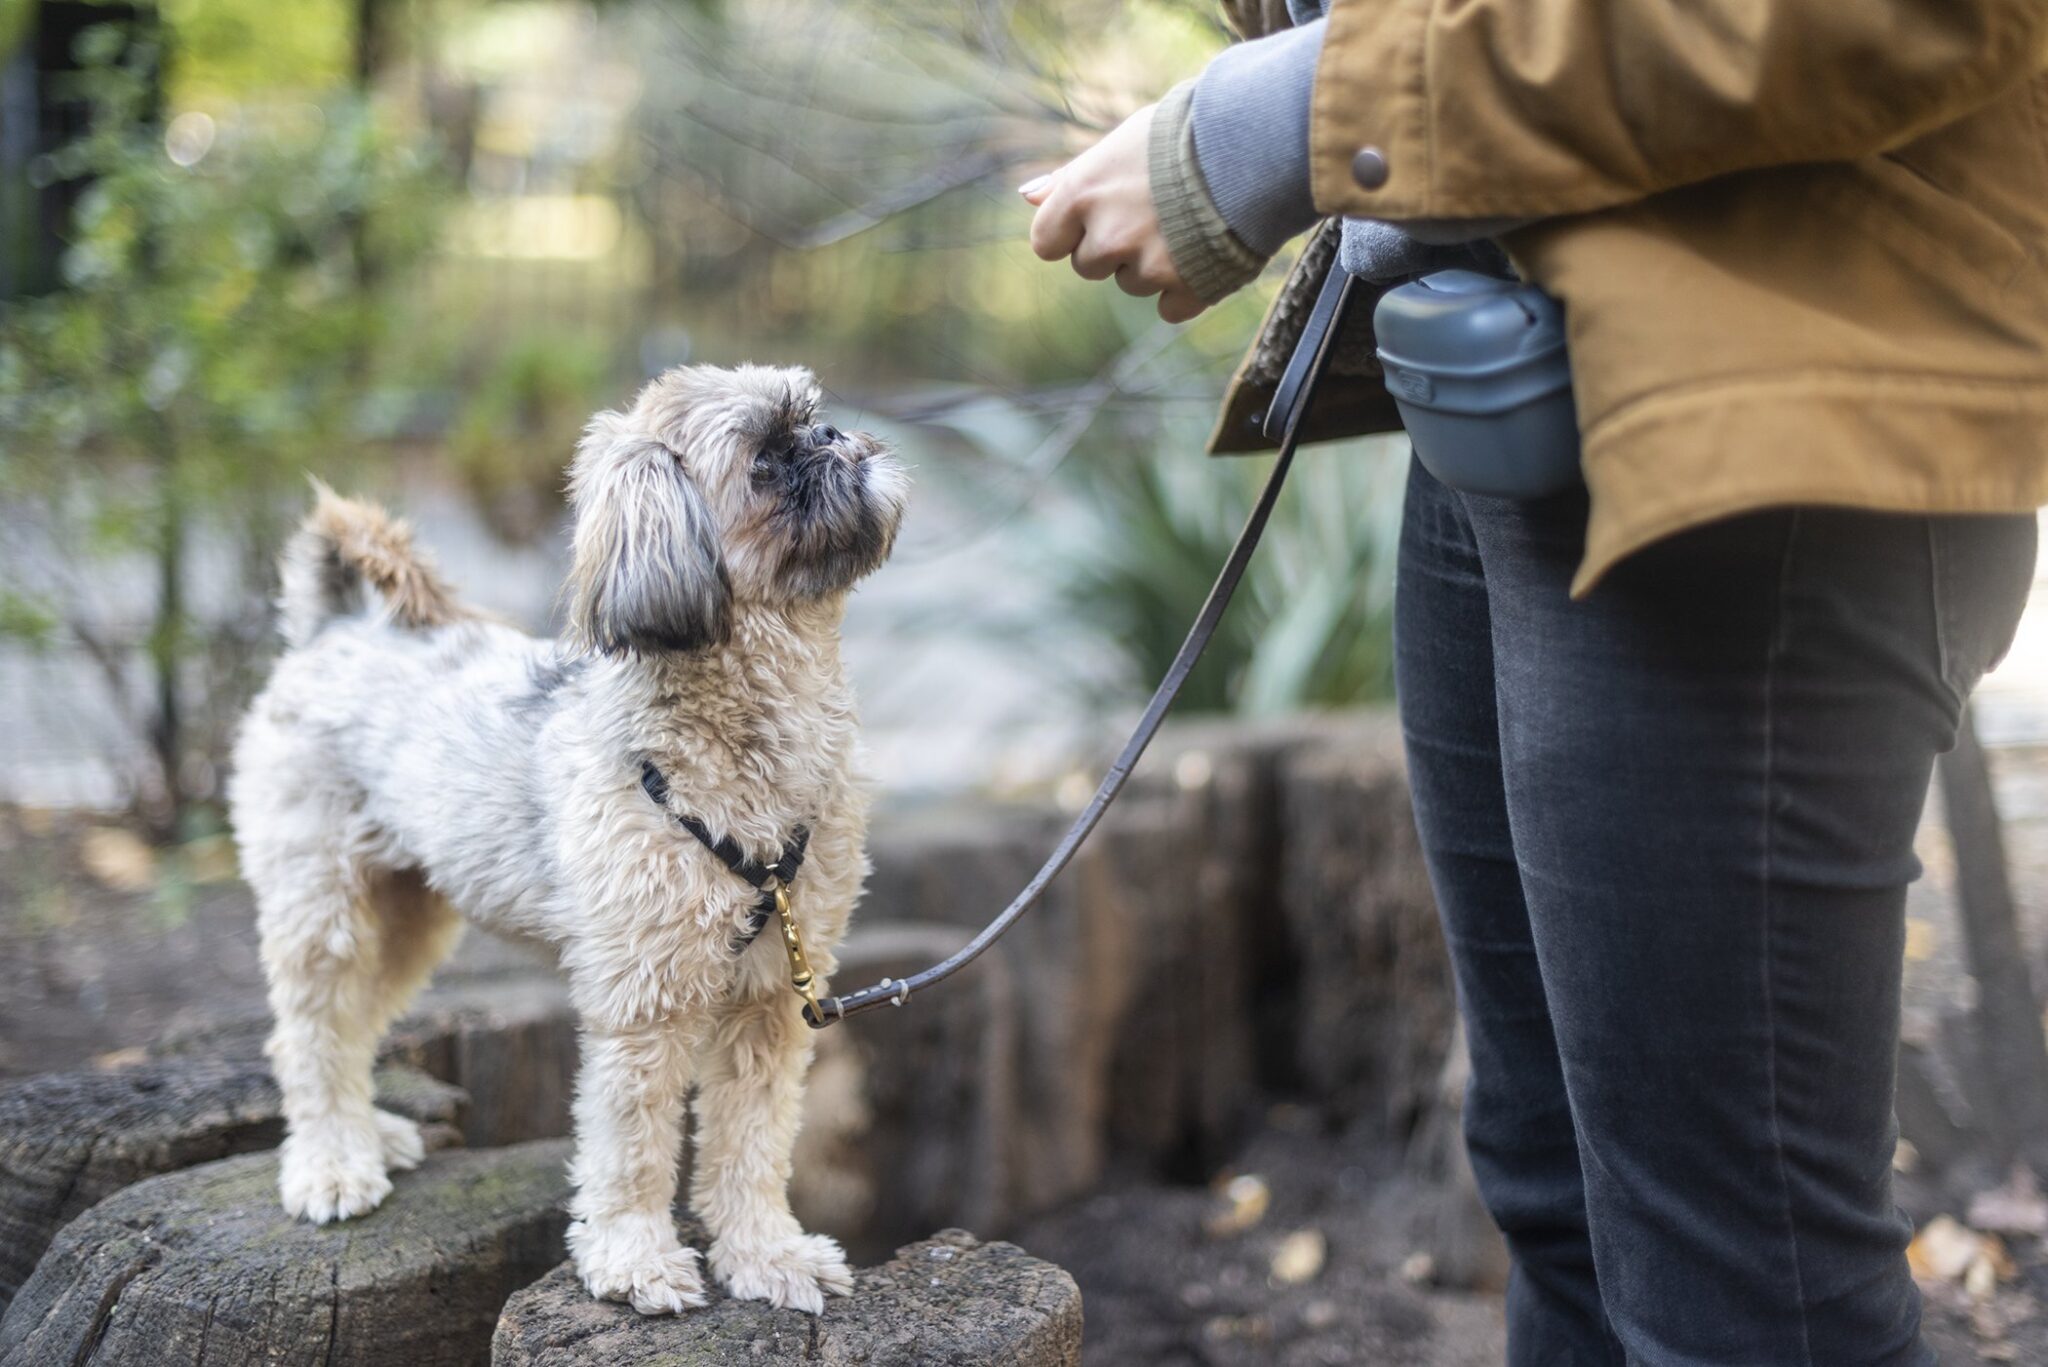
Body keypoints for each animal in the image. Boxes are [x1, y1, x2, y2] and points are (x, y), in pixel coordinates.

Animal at [228, 360, 909, 1311]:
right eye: (767, 460)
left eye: (814, 418)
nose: (839, 438)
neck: (747, 743)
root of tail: (334, 629)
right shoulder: (644, 1001)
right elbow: (632, 1147)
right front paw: (635, 1261)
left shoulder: (770, 993)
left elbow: (751, 1140)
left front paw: (766, 1254)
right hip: (322, 900)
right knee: (310, 1030)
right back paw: (332, 1162)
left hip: (407, 913)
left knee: (354, 1022)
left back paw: (369, 1134)